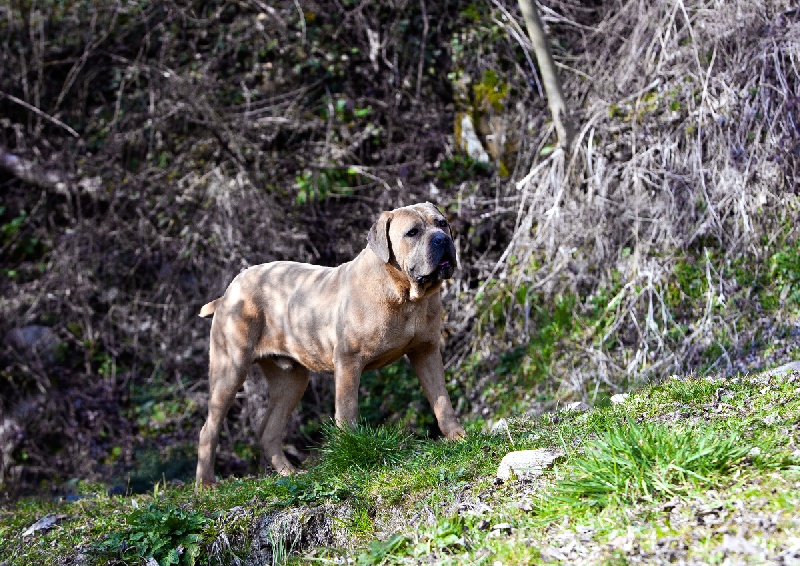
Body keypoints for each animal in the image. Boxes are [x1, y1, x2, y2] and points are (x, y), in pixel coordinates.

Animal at [196, 203, 466, 488]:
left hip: (291, 380)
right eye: (412, 232)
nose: (442, 239)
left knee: (268, 430)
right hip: (230, 369)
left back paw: (290, 474)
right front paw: (351, 452)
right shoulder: (349, 360)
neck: (405, 294)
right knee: (208, 429)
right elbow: (347, 410)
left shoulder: (426, 351)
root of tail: (227, 293)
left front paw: (458, 438)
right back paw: (206, 485)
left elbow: (442, 401)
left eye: (442, 223)